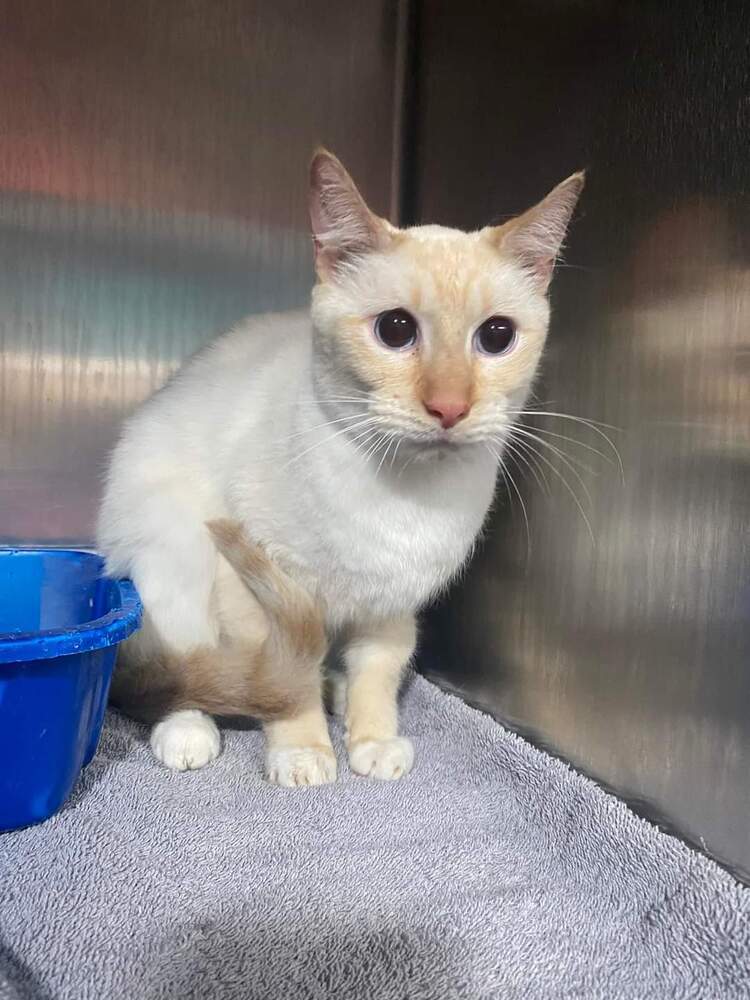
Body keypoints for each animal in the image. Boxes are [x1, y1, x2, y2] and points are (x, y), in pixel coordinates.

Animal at [97, 148, 584, 788]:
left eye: (497, 336)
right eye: (395, 330)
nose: (449, 407)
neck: (403, 496)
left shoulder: (392, 605)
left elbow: (376, 675)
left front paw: (372, 741)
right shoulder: (258, 589)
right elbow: (286, 684)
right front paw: (304, 752)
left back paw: (337, 693)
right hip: (174, 548)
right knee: (184, 670)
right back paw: (190, 732)